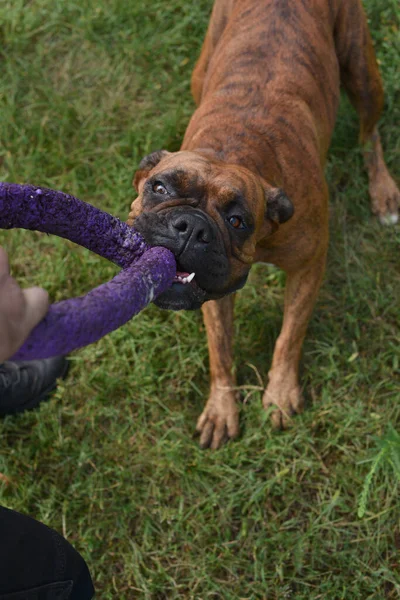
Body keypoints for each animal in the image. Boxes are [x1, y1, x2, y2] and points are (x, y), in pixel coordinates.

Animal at [129, 0, 400, 448]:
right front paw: (222, 407)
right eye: (160, 187)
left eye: (237, 220)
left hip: (362, 74)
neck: (232, 150)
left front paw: (280, 392)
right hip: (202, 70)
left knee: (369, 134)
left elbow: (290, 336)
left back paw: (383, 190)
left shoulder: (308, 268)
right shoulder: (215, 293)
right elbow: (221, 348)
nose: (191, 226)